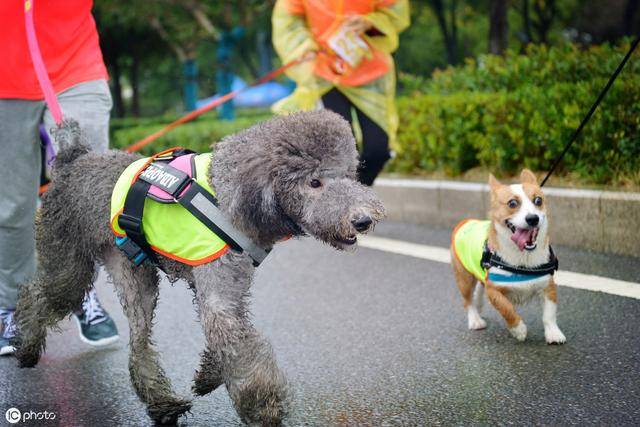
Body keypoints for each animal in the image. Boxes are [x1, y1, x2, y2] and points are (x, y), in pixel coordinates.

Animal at [450, 170, 564, 344]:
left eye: (538, 200)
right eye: (512, 203)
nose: (533, 218)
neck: (523, 257)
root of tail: (466, 222)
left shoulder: (548, 287)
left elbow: (549, 314)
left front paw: (553, 333)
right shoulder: (494, 291)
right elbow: (507, 308)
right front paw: (518, 330)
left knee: (479, 290)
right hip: (464, 279)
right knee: (467, 300)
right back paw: (475, 320)